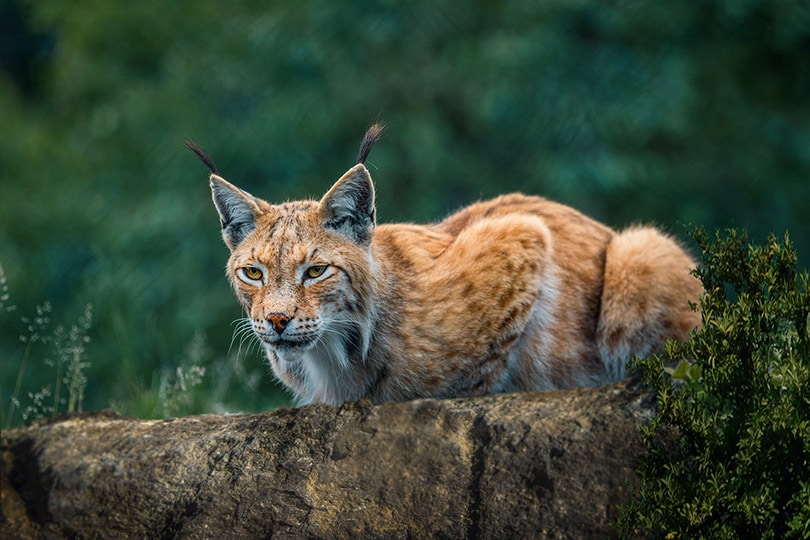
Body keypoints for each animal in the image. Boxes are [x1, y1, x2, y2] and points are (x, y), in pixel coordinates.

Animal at [186, 126, 696, 404]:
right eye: (253, 273)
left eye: (315, 271)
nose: (276, 320)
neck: (333, 350)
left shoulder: (523, 233)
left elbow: (481, 372)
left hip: (639, 251)